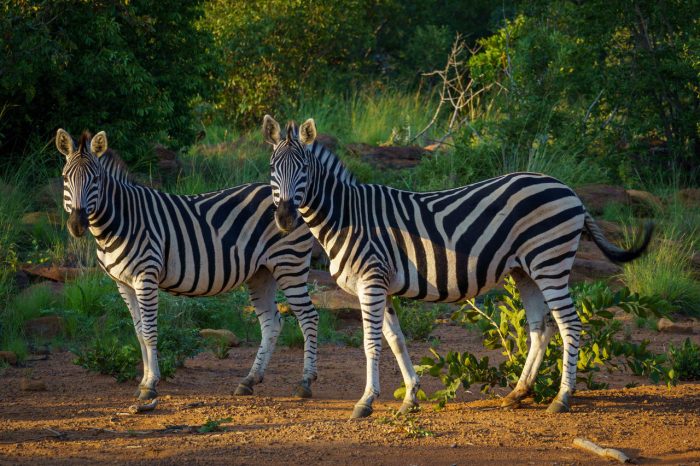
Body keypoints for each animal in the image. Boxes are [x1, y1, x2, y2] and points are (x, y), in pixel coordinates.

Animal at [57, 129, 320, 402]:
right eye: (65, 177)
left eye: (96, 179)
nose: (76, 225)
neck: (122, 219)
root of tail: (296, 200)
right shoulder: (123, 283)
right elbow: (139, 332)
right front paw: (142, 382)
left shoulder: (146, 276)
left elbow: (149, 332)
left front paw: (150, 384)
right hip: (262, 273)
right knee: (271, 323)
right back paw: (249, 380)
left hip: (289, 264)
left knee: (308, 316)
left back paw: (305, 382)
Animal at [262, 116, 652, 418]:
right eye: (272, 169)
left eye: (304, 169)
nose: (284, 219)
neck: (347, 217)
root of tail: (569, 190)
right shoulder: (380, 285)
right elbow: (396, 341)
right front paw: (411, 398)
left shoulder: (371, 281)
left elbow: (371, 344)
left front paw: (366, 402)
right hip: (525, 271)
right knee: (540, 329)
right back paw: (518, 393)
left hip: (549, 262)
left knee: (570, 324)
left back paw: (562, 398)